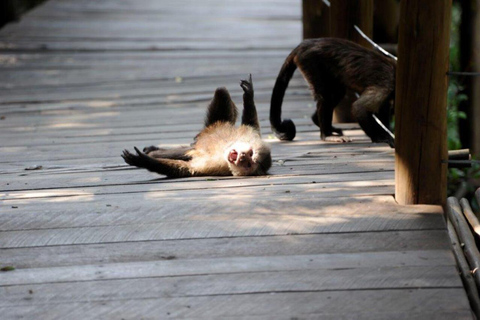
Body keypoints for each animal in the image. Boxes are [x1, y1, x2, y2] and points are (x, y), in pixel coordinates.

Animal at [121, 76, 270, 179]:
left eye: (249, 164)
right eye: (250, 153)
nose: (243, 156)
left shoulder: (216, 167)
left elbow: (185, 169)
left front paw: (144, 161)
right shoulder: (250, 135)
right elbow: (250, 123)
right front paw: (248, 95)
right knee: (221, 92)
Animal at [270, 37, 398, 148]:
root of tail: (306, 44)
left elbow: (381, 110)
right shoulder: (387, 83)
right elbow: (359, 108)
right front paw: (381, 138)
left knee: (337, 93)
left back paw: (319, 122)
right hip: (310, 61)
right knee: (326, 96)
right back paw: (326, 135)